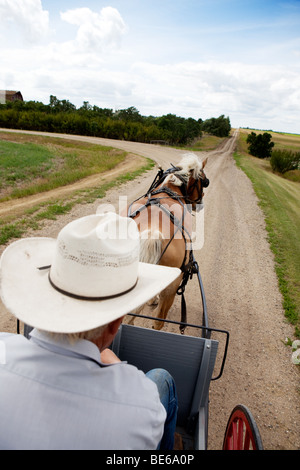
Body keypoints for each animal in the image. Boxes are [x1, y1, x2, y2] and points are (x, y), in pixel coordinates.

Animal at [126, 154, 209, 330]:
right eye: (205, 181)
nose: (200, 204)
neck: (170, 188)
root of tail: (152, 233)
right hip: (171, 287)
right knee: (158, 322)